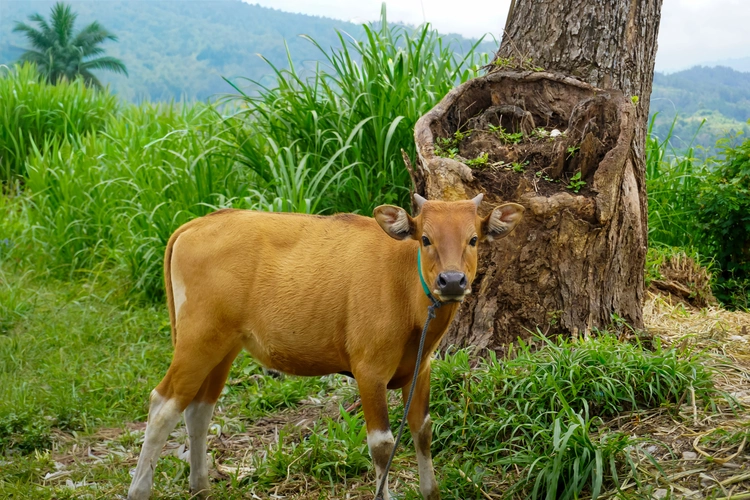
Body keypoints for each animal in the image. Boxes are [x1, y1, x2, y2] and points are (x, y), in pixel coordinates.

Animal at [127, 193, 524, 500]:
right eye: (425, 239)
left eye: (473, 239)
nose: (452, 281)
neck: (405, 292)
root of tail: (195, 225)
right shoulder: (368, 371)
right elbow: (382, 444)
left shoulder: (420, 369)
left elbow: (423, 430)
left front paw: (431, 491)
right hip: (198, 339)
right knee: (162, 406)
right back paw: (140, 489)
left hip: (224, 345)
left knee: (198, 409)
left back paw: (201, 486)